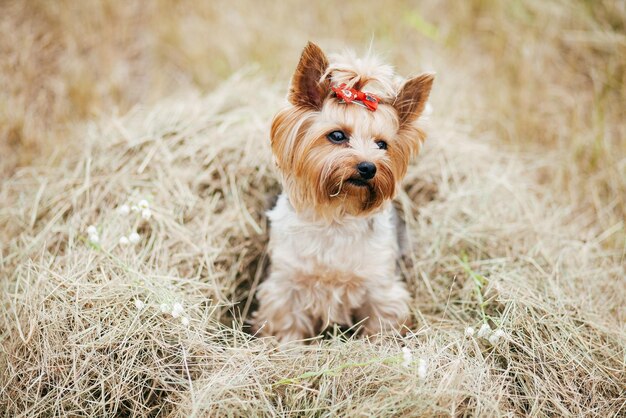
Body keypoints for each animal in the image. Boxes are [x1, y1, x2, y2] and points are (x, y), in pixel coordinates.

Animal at [251, 42, 432, 342]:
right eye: (337, 136)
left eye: (382, 144)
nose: (368, 167)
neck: (337, 212)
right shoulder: (286, 288)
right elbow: (287, 327)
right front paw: (288, 347)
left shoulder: (381, 289)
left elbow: (381, 322)